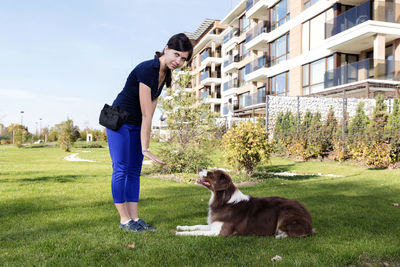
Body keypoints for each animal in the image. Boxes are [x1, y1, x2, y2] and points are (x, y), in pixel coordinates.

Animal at [177, 170, 314, 239]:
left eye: (211, 174)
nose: (199, 169)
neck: (223, 200)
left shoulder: (220, 232)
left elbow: (197, 232)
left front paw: (179, 233)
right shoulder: (214, 225)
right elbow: (196, 226)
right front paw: (181, 227)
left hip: (285, 212)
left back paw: (280, 235)